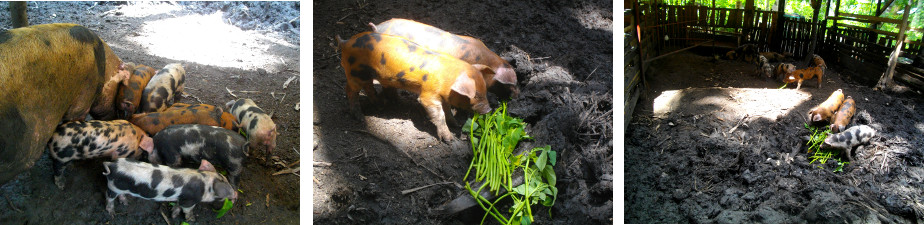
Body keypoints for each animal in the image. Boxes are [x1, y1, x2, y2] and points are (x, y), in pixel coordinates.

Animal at [104, 158, 238, 221]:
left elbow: (178, 206)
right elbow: (187, 210)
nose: (236, 194)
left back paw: (125, 203)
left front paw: (173, 216)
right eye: (226, 186)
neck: (205, 184)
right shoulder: (189, 201)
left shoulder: (182, 198)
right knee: (108, 197)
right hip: (113, 186)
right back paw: (112, 214)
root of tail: (112, 165)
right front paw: (192, 219)